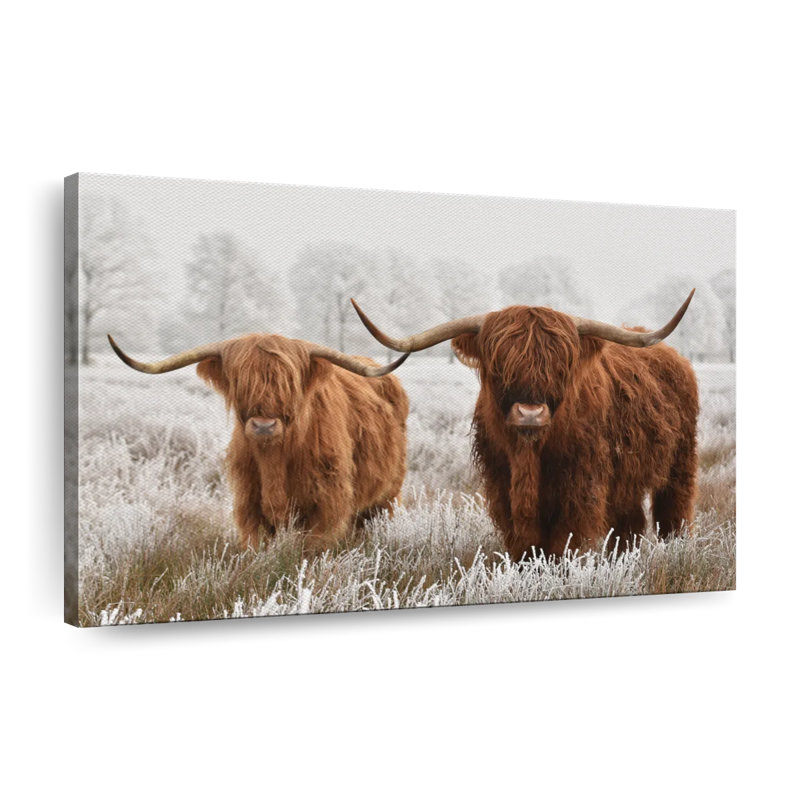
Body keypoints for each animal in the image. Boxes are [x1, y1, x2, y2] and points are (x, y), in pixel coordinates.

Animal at [108, 333, 410, 554]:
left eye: (289, 382)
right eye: (240, 381)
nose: (264, 425)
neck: (274, 459)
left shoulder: (327, 505)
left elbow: (312, 550)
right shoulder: (248, 503)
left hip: (387, 495)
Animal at [351, 292, 698, 559]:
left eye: (561, 365)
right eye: (499, 364)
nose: (530, 413)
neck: (529, 455)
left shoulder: (581, 488)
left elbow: (564, 543)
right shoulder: (501, 485)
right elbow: (524, 545)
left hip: (680, 463)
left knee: (673, 512)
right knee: (631, 524)